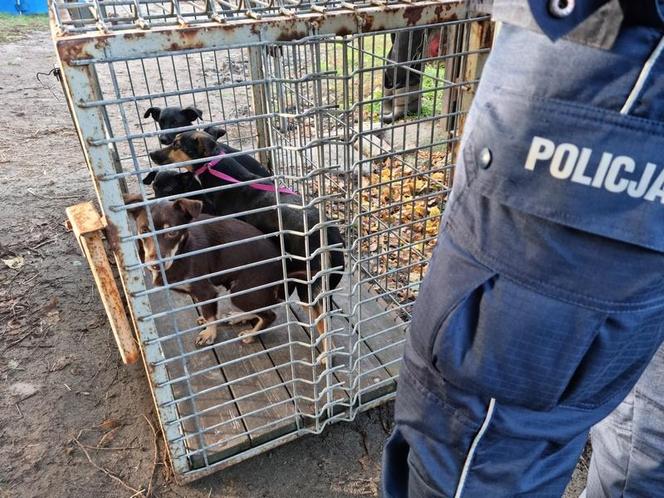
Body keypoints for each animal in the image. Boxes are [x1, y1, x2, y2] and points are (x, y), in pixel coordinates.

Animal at [124, 195, 286, 346]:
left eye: (172, 233)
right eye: (144, 231)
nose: (155, 265)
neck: (182, 251)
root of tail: (281, 262)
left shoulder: (206, 291)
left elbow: (210, 316)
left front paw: (209, 334)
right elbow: (208, 311)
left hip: (242, 292)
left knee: (269, 315)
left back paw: (251, 335)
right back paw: (238, 317)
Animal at [148, 131, 344, 366]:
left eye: (177, 144)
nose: (151, 154)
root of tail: (331, 236)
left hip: (309, 287)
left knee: (321, 322)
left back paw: (324, 355)